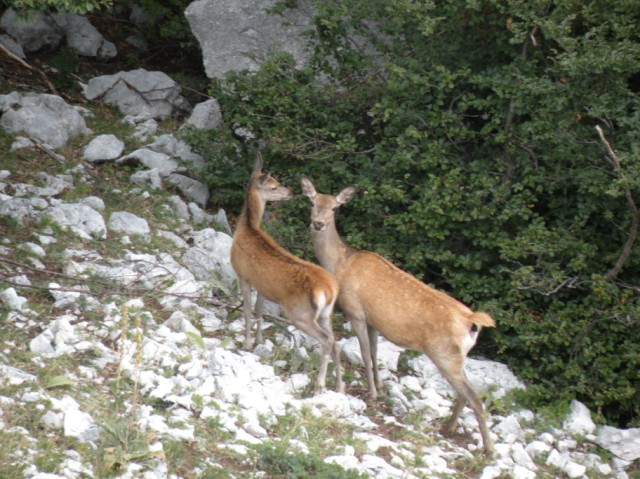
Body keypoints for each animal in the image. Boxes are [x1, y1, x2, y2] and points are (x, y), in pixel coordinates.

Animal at [230, 156, 344, 396]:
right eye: (274, 185)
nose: (290, 191)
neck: (246, 229)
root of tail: (329, 289)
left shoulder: (242, 274)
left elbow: (247, 310)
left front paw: (247, 343)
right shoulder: (262, 285)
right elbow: (259, 310)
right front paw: (259, 340)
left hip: (300, 313)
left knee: (327, 340)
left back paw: (319, 385)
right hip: (326, 313)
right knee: (336, 341)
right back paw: (339, 386)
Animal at [300, 178, 496, 456]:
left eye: (335, 208)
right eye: (312, 202)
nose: (318, 223)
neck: (339, 263)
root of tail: (472, 322)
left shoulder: (355, 311)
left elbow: (364, 352)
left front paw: (372, 392)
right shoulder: (373, 321)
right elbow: (373, 353)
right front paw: (381, 387)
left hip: (444, 354)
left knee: (475, 397)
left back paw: (488, 449)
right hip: (457, 357)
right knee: (464, 393)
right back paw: (448, 428)